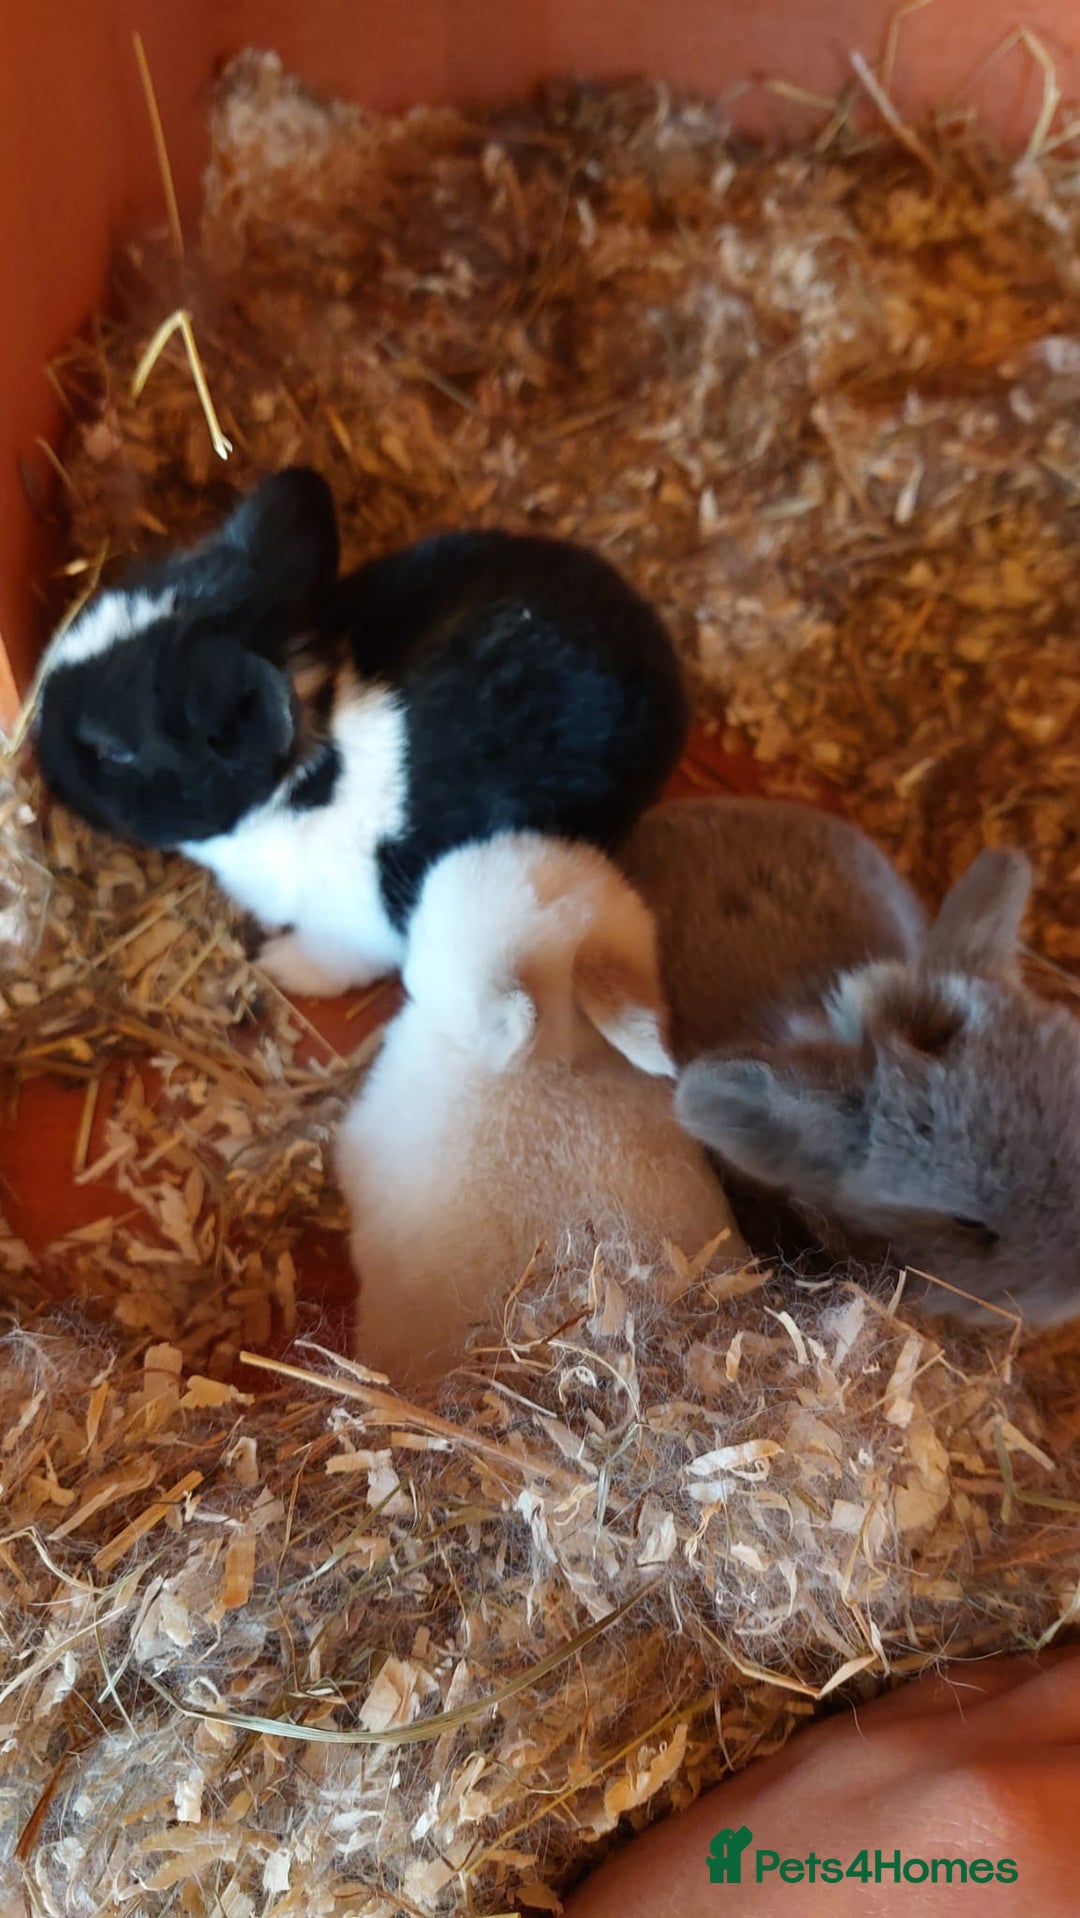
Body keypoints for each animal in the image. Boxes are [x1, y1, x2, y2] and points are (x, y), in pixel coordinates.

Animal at [34, 467, 689, 999]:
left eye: (113, 750)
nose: (39, 755)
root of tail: (655, 645)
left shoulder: (360, 923)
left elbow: (331, 959)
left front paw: (279, 965)